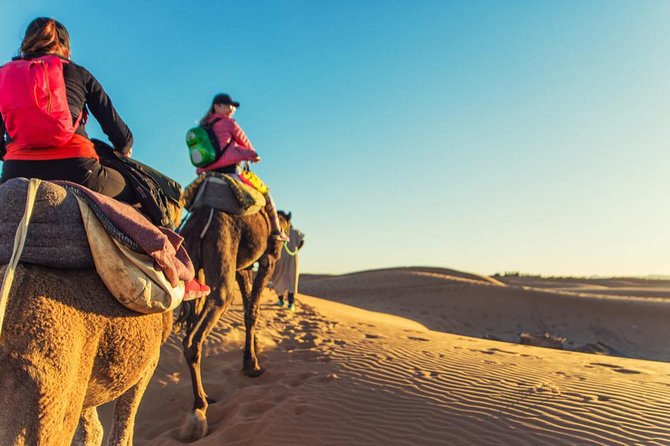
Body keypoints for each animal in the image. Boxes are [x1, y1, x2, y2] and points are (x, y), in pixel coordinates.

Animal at [176, 206, 288, 440]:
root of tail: (196, 223)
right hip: (221, 250)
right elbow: (253, 309)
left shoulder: (241, 269)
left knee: (193, 313)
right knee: (197, 333)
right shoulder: (268, 258)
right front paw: (253, 365)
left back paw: (205, 397)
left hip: (192, 262)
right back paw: (199, 407)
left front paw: (251, 355)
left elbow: (247, 308)